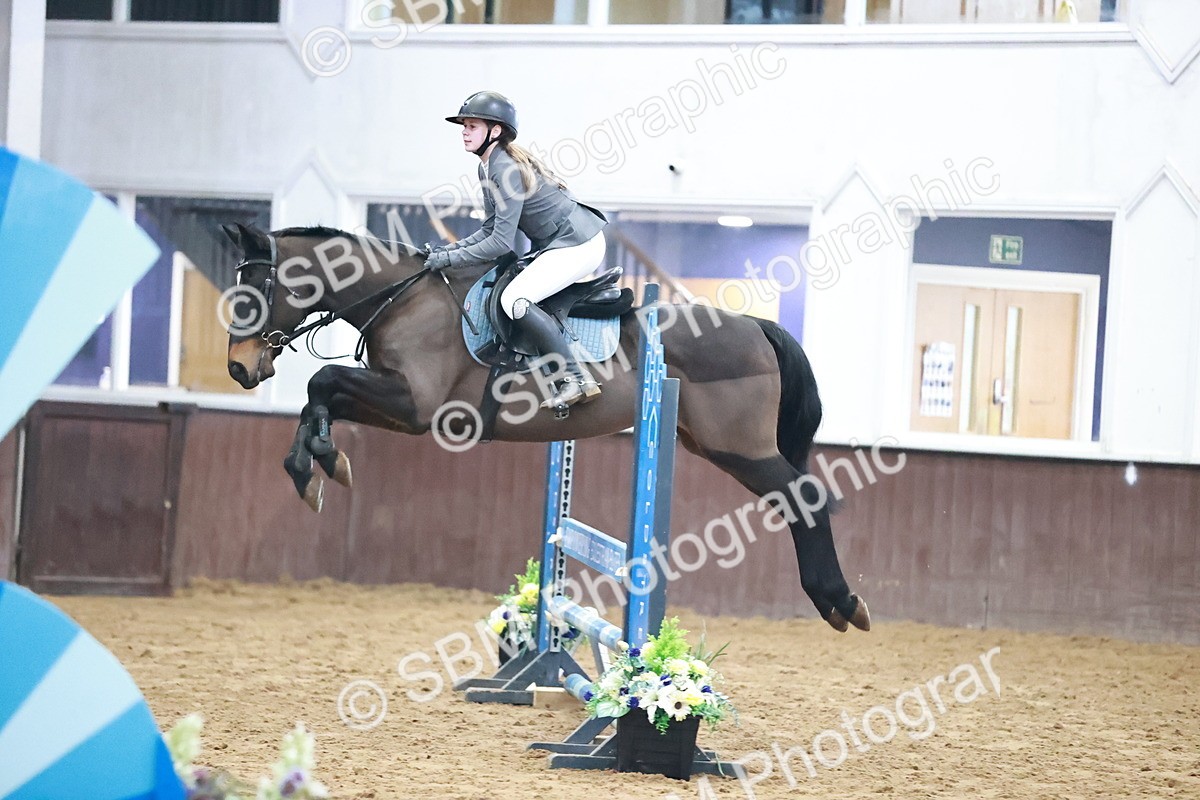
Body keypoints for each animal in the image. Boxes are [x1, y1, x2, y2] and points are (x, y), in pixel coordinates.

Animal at [221, 223, 870, 633]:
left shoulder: (418, 407)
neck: (404, 299)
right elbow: (319, 396)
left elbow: (323, 381)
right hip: (716, 445)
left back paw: (840, 602)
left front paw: (321, 463)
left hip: (741, 450)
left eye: (253, 291)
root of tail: (756, 326)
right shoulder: (397, 405)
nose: (239, 369)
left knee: (805, 498)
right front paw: (315, 467)